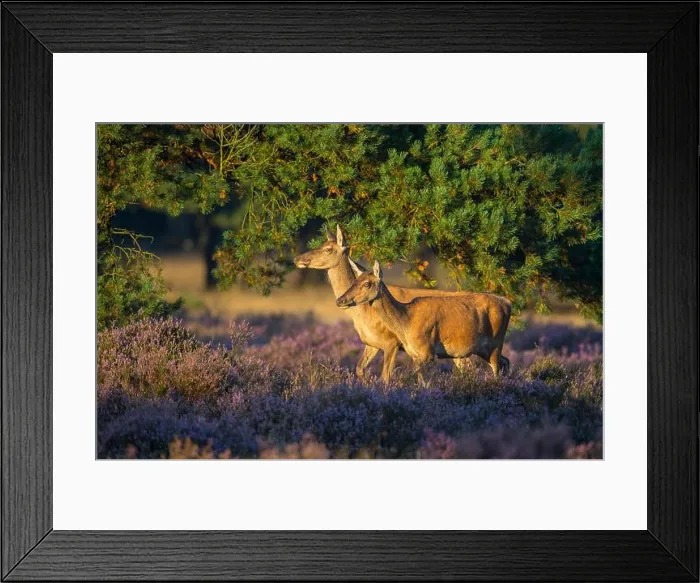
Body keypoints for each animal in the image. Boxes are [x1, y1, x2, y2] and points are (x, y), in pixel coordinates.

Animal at [336, 260, 512, 386]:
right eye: (354, 281)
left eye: (367, 283)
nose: (340, 300)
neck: (406, 322)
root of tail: (507, 304)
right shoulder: (414, 353)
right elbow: (419, 382)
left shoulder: (428, 352)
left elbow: (402, 376)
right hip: (482, 349)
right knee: (505, 362)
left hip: (496, 342)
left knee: (497, 369)